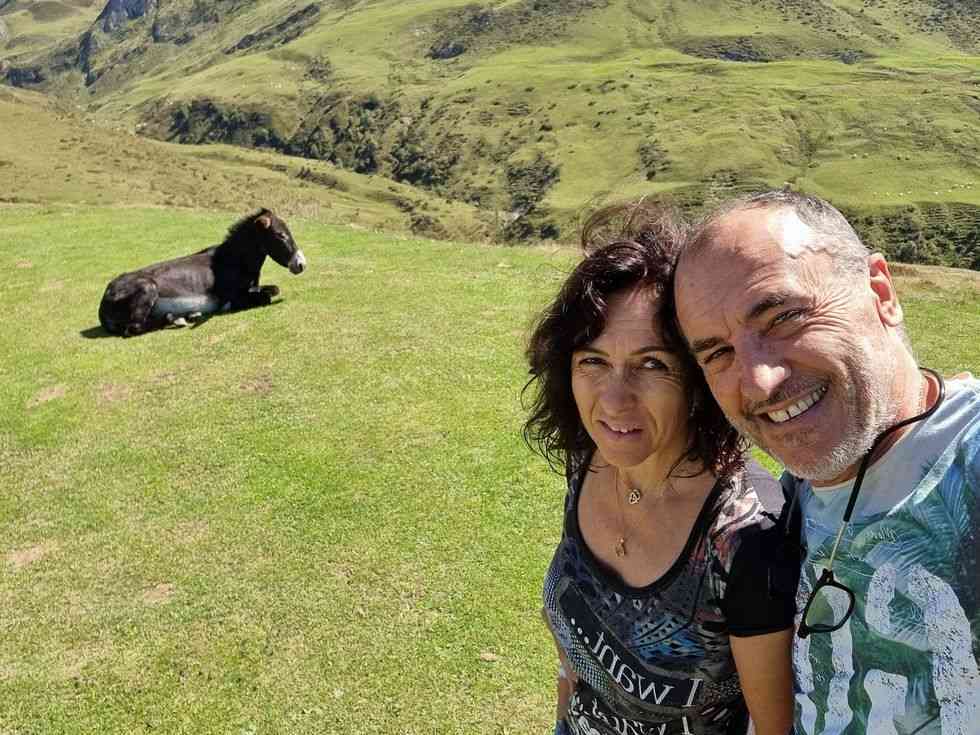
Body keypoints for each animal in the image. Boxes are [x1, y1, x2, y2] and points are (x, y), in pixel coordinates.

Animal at [98, 209, 307, 336]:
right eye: (281, 235)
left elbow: (274, 288)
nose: (301, 264)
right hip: (148, 287)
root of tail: (104, 299)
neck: (234, 259)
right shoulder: (237, 297)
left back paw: (188, 316)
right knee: (133, 328)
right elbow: (267, 296)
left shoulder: (253, 287)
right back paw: (178, 319)